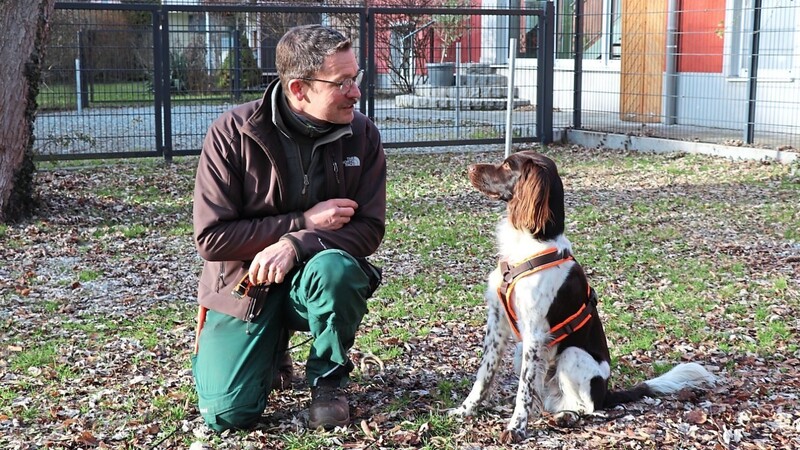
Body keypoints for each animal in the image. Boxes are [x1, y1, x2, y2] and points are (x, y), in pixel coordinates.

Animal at [450, 151, 720, 442]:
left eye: (508, 165)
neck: (531, 244)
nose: (470, 168)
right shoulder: (498, 320)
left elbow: (524, 390)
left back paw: (567, 417)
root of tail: (607, 392)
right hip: (524, 352)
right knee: (545, 400)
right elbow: (485, 373)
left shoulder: (534, 332)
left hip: (572, 355)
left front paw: (516, 428)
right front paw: (466, 410)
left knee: (589, 407)